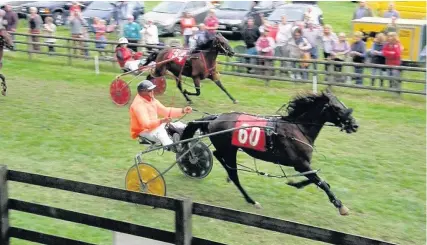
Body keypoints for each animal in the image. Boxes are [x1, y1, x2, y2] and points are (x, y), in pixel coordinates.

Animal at [182, 89, 360, 214]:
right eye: (337, 108)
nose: (355, 125)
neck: (297, 128)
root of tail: (215, 118)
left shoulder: (303, 165)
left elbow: (319, 180)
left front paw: (294, 183)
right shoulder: (300, 164)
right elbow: (321, 182)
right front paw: (341, 206)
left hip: (229, 148)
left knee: (218, 156)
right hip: (229, 149)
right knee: (233, 173)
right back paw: (251, 200)